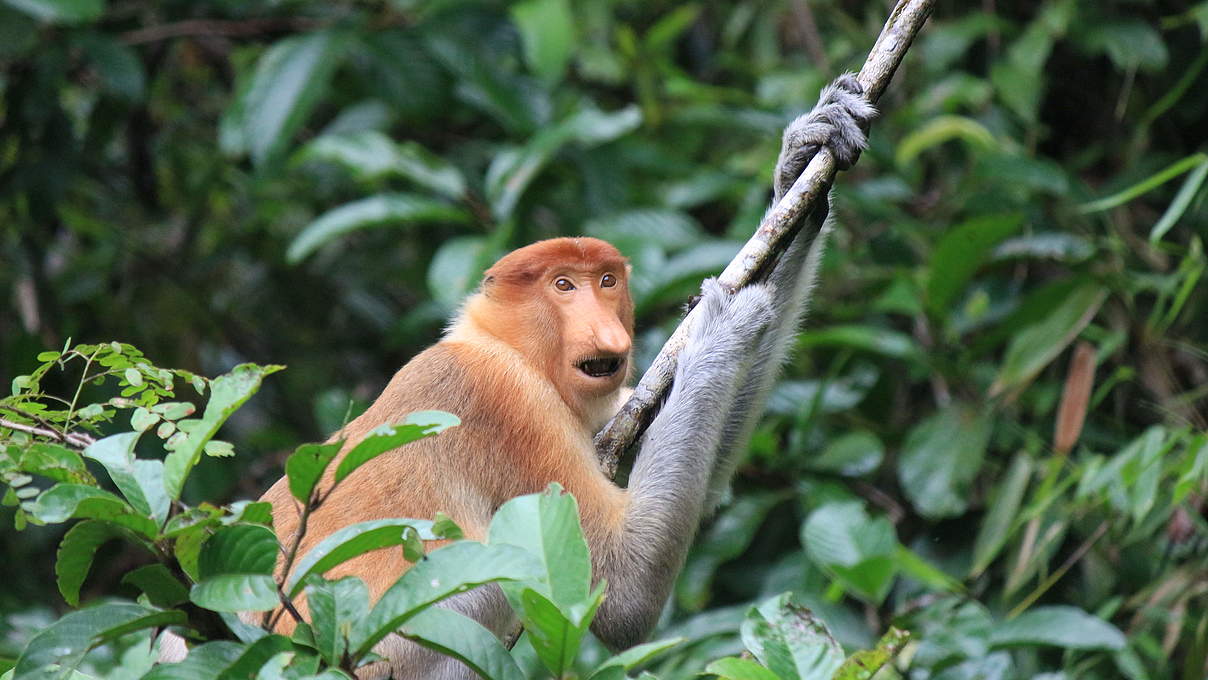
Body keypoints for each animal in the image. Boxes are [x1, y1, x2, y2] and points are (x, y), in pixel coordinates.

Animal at [165, 75, 874, 680]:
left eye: (606, 280)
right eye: (563, 286)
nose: (608, 332)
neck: (501, 343)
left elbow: (708, 486)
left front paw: (802, 164)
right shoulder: (506, 404)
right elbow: (622, 586)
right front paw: (721, 325)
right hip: (381, 646)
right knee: (481, 589)